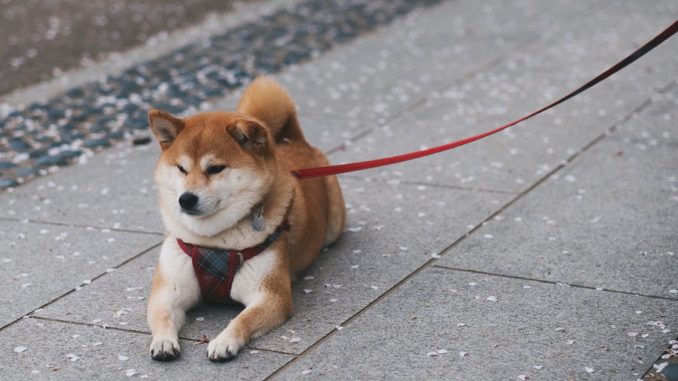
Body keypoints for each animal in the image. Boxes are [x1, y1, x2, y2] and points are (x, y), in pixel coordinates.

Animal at [144, 76, 346, 360]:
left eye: (216, 168)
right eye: (181, 168)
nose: (186, 199)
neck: (213, 242)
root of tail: (292, 141)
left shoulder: (271, 295)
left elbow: (243, 319)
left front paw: (223, 341)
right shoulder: (168, 290)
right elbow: (162, 316)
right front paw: (163, 341)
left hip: (335, 222)